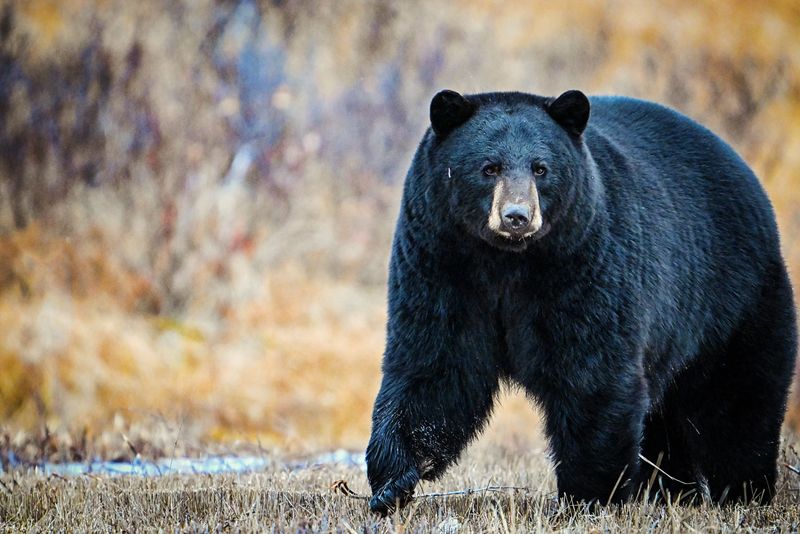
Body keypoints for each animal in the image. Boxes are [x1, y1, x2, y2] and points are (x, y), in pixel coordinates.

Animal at [364, 88, 798, 516]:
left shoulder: (584, 264)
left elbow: (591, 371)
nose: (517, 216)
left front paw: (589, 495)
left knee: (739, 403)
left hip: (731, 299)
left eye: (541, 168)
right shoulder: (441, 263)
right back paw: (670, 492)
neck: (507, 261)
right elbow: (436, 367)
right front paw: (391, 483)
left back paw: (744, 492)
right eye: (489, 168)